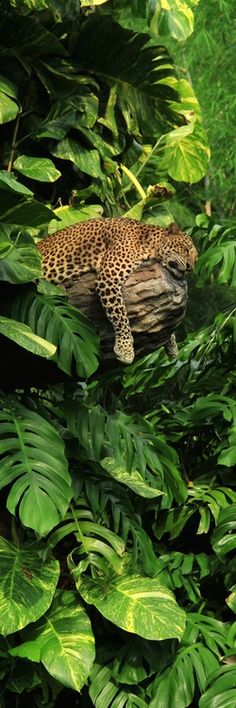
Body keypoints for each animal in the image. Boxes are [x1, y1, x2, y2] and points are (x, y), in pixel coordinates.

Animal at [38, 217, 197, 366]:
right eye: (186, 249)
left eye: (195, 259)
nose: (190, 267)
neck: (147, 242)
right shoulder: (108, 278)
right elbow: (120, 314)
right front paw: (125, 349)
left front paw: (172, 344)